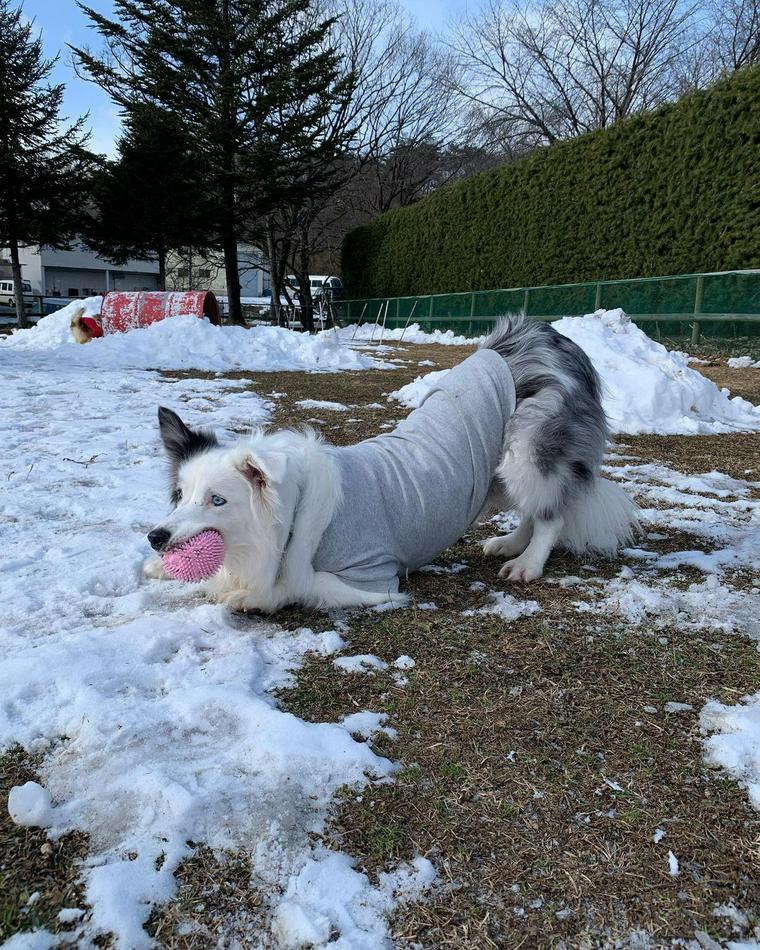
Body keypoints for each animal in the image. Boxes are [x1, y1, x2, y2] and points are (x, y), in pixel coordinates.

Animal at [142, 316, 636, 612]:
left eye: (217, 500)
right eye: (179, 496)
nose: (155, 537)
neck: (291, 516)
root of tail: (546, 333)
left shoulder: (372, 581)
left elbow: (298, 583)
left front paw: (249, 595)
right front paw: (159, 569)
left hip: (527, 450)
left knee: (552, 511)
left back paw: (528, 563)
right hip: (500, 468)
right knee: (534, 508)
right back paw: (510, 544)